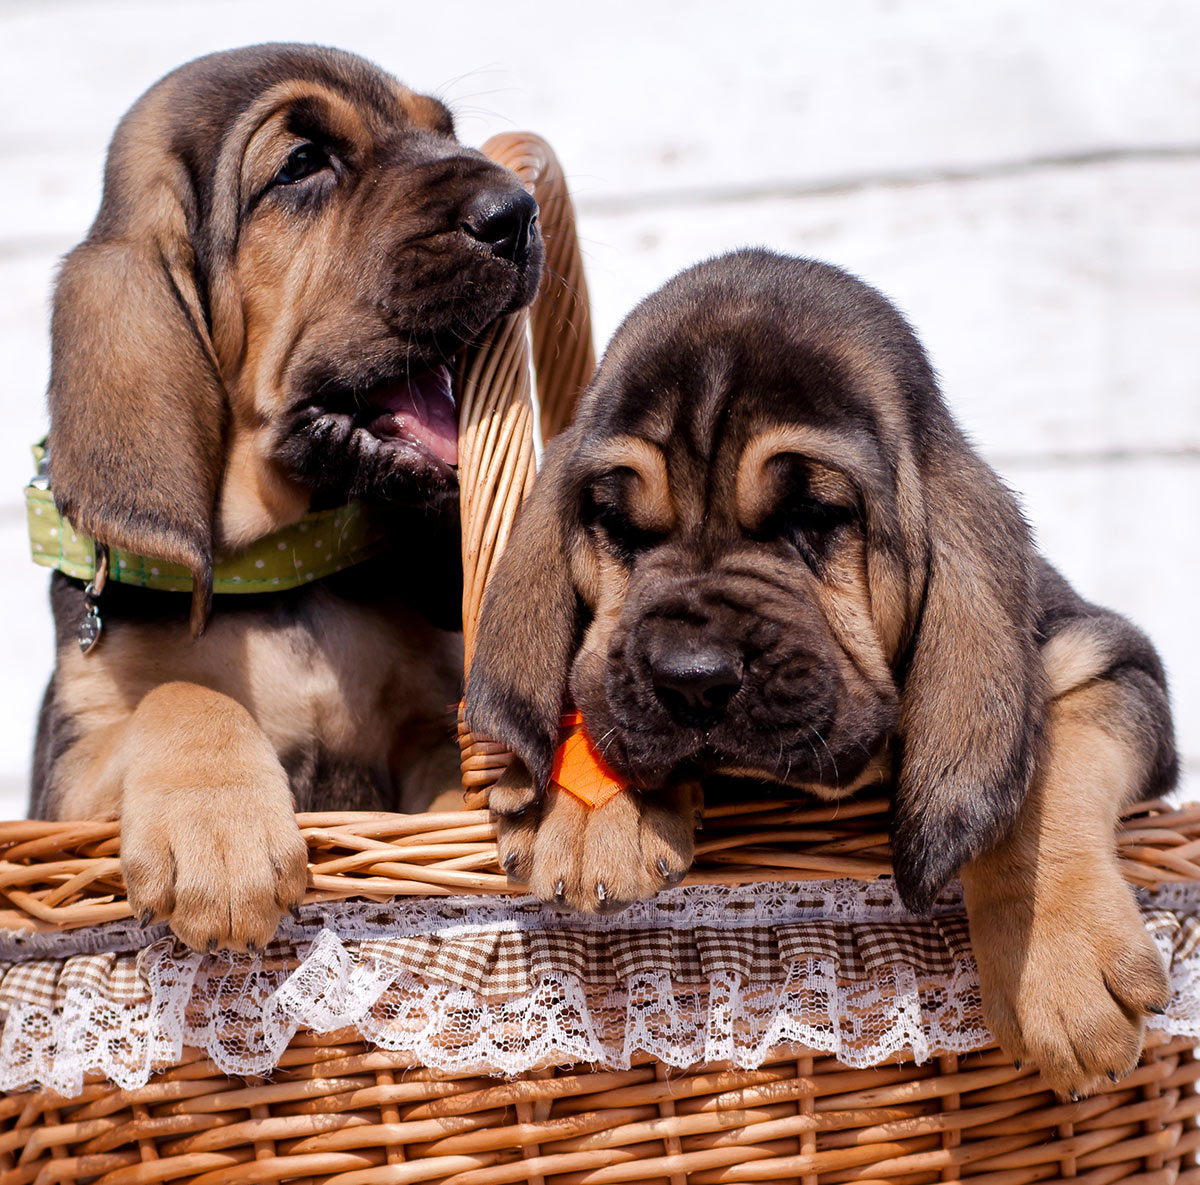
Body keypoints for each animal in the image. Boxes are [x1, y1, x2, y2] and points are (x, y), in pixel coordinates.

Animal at [31, 44, 544, 954]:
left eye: (441, 128)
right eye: (302, 164)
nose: (518, 212)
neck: (281, 565)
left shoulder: (421, 727)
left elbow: (445, 779)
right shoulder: (69, 776)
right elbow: (178, 695)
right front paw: (219, 835)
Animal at [463, 249, 1176, 1103]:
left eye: (814, 517)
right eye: (621, 527)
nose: (692, 676)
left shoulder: (1110, 654)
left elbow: (1043, 760)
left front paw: (1059, 966)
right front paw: (586, 811)